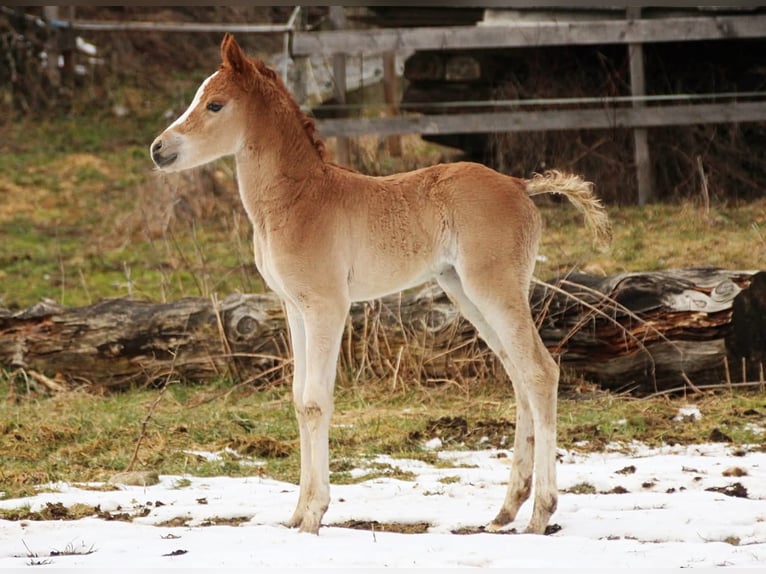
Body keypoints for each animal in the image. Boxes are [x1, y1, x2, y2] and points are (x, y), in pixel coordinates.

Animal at [150, 34, 611, 535]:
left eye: (215, 104)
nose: (157, 149)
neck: (296, 199)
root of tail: (519, 185)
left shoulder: (327, 306)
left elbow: (316, 401)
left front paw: (314, 516)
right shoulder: (293, 306)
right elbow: (297, 400)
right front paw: (296, 516)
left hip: (495, 287)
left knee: (540, 372)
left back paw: (540, 514)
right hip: (464, 291)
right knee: (518, 374)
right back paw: (506, 510)